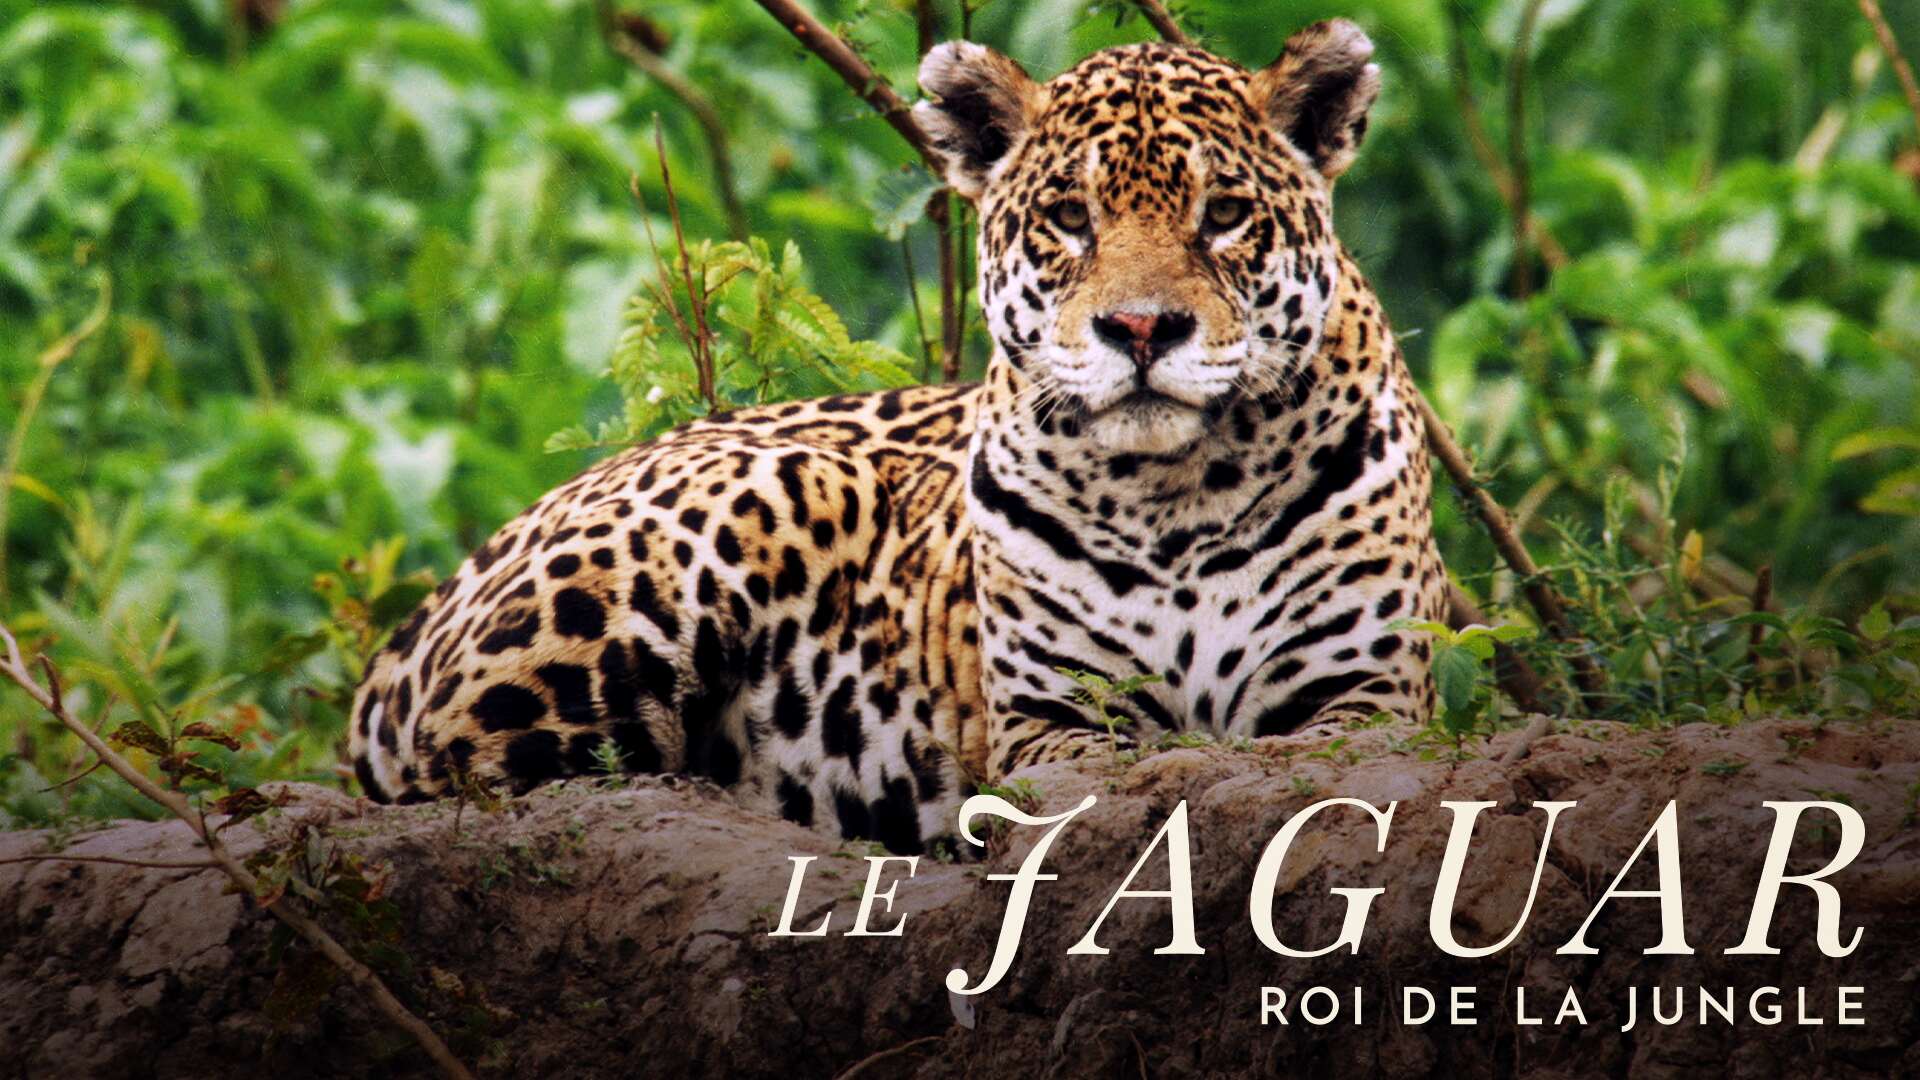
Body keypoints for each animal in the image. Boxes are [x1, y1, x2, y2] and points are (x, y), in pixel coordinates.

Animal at [347, 19, 1448, 854]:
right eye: (1069, 218)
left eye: (1224, 215)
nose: (1140, 330)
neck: (1172, 492)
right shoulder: (1049, 721)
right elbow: (1117, 763)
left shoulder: (1371, 698)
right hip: (767, 496)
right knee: (488, 777)